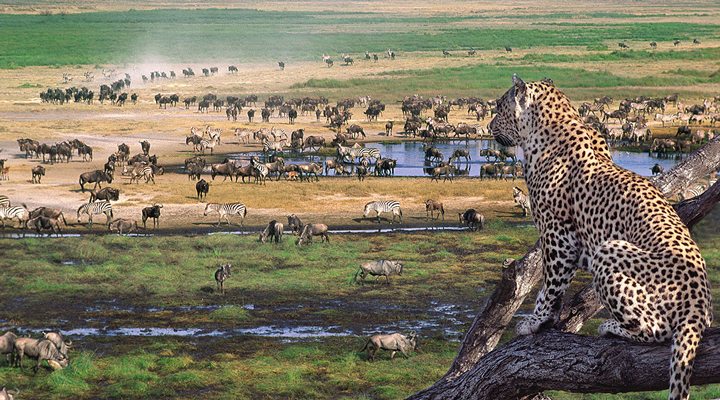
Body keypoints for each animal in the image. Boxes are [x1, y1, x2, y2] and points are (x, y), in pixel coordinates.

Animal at [486, 76, 712, 400]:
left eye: (499, 107)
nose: (489, 126)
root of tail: (698, 305)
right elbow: (554, 285)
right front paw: (547, 319)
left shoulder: (557, 234)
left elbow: (551, 284)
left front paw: (537, 321)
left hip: (609, 250)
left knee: (657, 331)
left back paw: (611, 327)